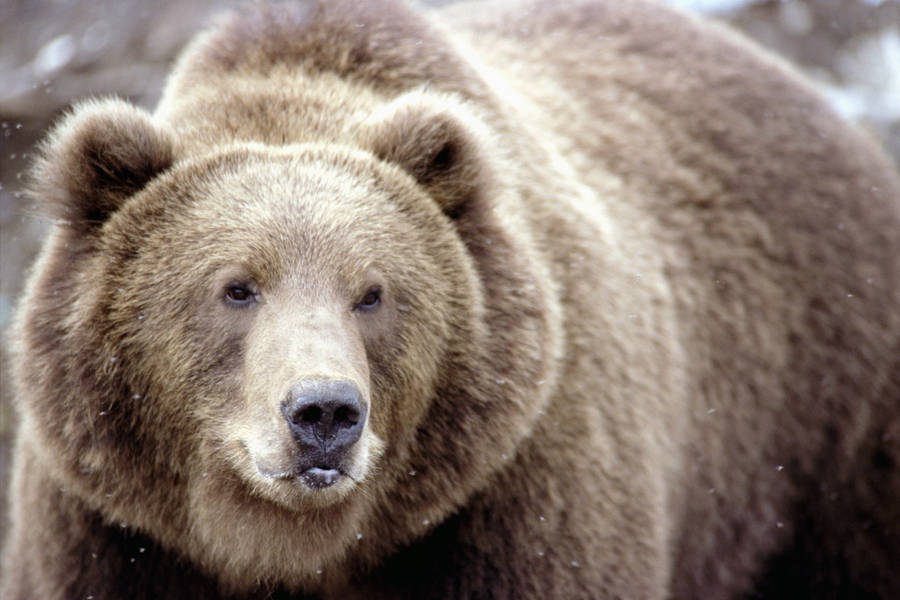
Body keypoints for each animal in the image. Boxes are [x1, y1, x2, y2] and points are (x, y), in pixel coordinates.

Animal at [2, 0, 899, 598]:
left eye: (372, 293)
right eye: (236, 287)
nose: (323, 413)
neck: (292, 546)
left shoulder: (515, 501)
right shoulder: (113, 538)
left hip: (823, 430)